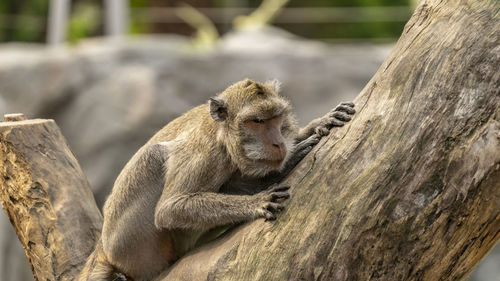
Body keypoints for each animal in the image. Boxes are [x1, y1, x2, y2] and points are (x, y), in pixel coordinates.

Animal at [78, 77, 354, 278]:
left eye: (276, 118)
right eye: (257, 121)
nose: (277, 143)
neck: (223, 136)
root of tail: (102, 249)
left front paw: (317, 125)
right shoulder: (206, 154)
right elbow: (170, 208)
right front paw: (257, 199)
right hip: (130, 246)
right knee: (153, 155)